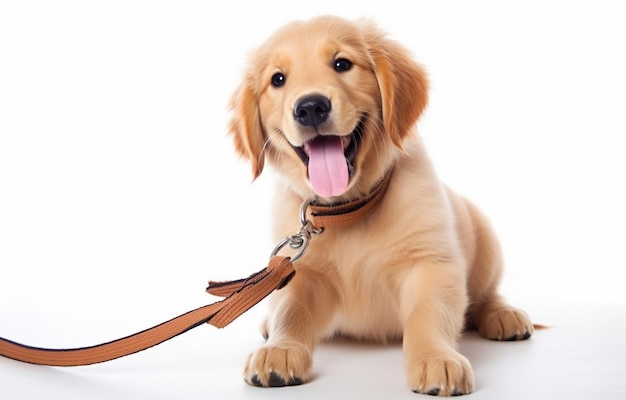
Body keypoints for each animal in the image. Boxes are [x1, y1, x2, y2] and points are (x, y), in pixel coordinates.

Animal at [227, 15, 528, 396]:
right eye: (277, 79)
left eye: (342, 64)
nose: (310, 107)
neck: (347, 211)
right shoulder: (301, 273)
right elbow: (290, 310)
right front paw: (279, 350)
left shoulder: (432, 264)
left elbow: (429, 313)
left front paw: (437, 358)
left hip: (486, 241)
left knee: (487, 293)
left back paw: (503, 315)